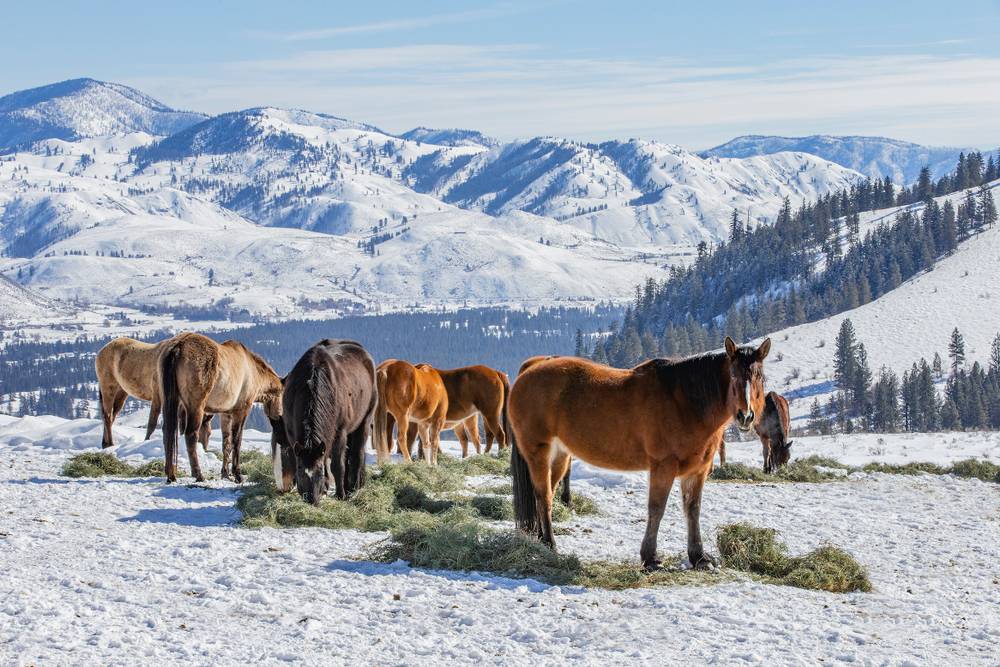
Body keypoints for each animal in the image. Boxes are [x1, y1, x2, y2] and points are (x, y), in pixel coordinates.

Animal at [159, 336, 282, 482]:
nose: (279, 417)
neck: (254, 371)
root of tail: (178, 347)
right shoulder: (242, 410)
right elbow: (237, 440)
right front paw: (237, 474)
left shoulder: (225, 413)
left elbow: (226, 443)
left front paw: (225, 473)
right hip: (196, 407)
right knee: (191, 435)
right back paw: (198, 474)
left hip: (172, 402)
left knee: (168, 432)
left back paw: (171, 475)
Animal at [272, 342, 376, 504]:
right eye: (301, 470)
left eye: (319, 471)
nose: (312, 499)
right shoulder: (293, 435)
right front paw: (325, 489)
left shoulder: (339, 433)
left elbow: (337, 465)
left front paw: (340, 495)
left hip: (364, 421)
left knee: (357, 454)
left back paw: (354, 489)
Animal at [512, 336, 768, 572]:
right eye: (733, 375)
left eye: (759, 377)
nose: (746, 416)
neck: (683, 402)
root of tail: (533, 367)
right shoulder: (663, 467)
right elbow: (656, 509)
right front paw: (650, 558)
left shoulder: (697, 470)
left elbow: (692, 510)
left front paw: (699, 557)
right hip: (538, 453)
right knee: (544, 496)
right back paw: (550, 544)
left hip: (560, 456)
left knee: (546, 494)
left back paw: (541, 540)